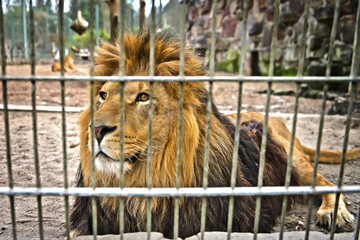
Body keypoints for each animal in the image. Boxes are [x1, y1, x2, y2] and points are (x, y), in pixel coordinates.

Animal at [69, 30, 358, 238]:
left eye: (143, 97)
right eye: (103, 96)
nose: (96, 130)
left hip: (294, 161)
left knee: (327, 183)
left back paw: (334, 213)